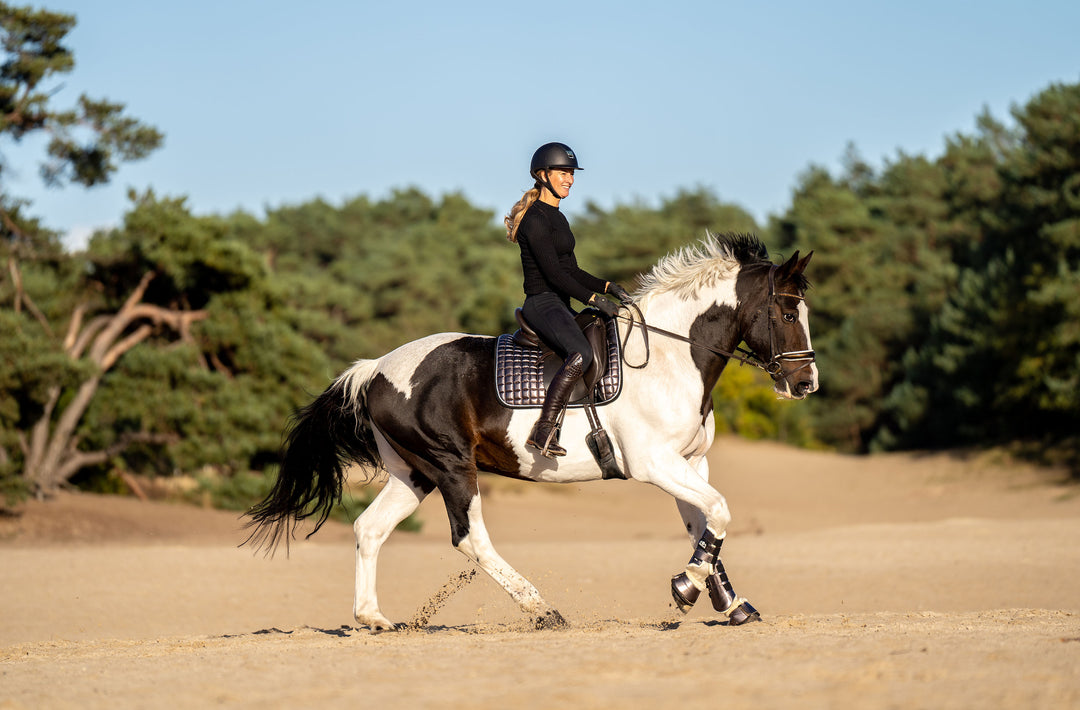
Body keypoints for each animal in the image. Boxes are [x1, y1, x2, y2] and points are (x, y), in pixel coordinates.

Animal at [247, 234, 816, 631]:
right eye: (789, 312)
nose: (805, 383)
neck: (671, 356)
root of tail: (376, 368)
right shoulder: (655, 463)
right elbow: (718, 512)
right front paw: (686, 587)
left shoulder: (691, 462)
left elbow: (706, 527)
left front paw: (729, 602)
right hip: (452, 466)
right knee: (470, 538)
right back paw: (542, 611)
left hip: (414, 472)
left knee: (370, 529)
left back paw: (373, 618)